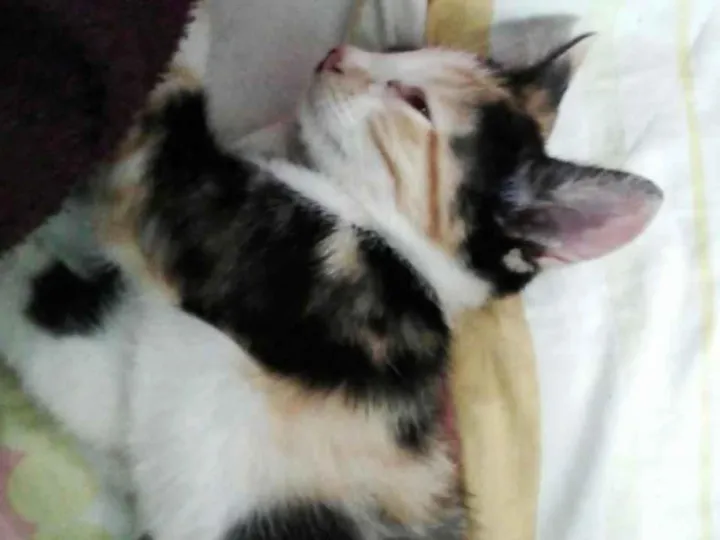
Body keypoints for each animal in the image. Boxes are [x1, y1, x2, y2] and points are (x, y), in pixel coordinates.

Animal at [0, 39, 662, 540]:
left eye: (414, 101)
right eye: (400, 47)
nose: (337, 52)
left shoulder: (279, 255)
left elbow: (168, 131)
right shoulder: (115, 376)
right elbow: (66, 352)